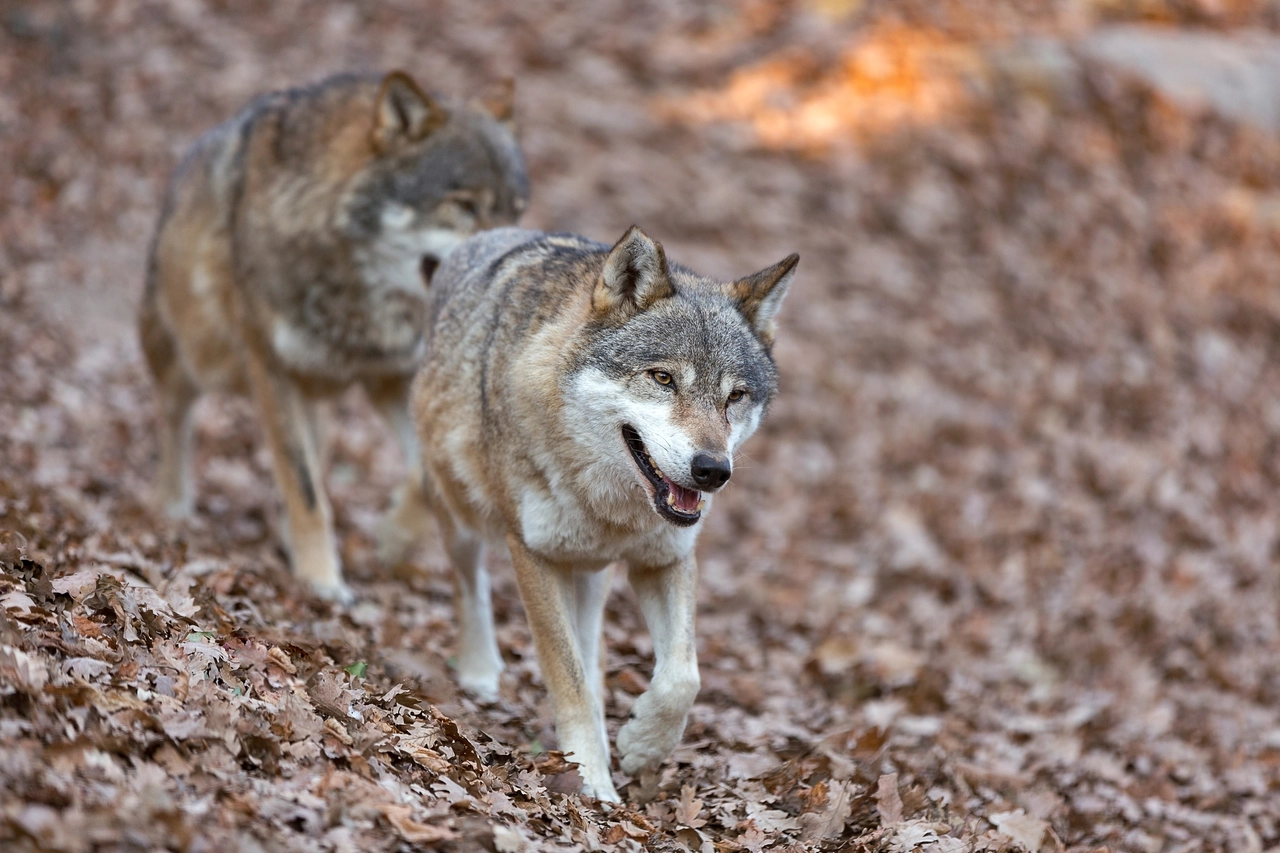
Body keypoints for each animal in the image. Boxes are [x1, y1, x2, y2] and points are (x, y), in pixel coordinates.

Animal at [142, 73, 532, 601]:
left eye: (517, 210)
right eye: (465, 205)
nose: (510, 251)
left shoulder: (393, 377)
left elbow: (417, 474)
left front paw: (390, 537)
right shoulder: (270, 369)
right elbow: (305, 489)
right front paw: (321, 580)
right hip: (193, 358)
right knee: (174, 418)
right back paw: (172, 506)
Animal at [409, 224, 793, 799]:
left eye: (735, 397)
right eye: (662, 378)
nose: (712, 470)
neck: (608, 505)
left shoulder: (665, 560)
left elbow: (683, 677)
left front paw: (641, 746)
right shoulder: (533, 557)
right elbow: (568, 683)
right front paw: (591, 780)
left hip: (592, 578)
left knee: (593, 655)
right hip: (460, 516)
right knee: (469, 584)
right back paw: (479, 672)